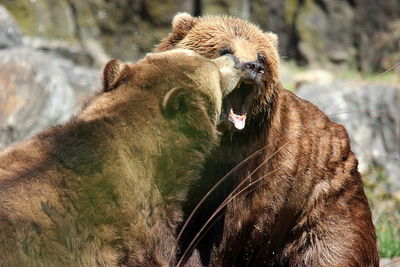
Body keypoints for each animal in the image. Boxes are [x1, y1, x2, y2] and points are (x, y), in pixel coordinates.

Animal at [155, 13, 378, 267]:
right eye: (225, 49)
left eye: (262, 55)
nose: (253, 67)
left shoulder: (245, 175)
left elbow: (214, 232)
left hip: (325, 200)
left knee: (332, 247)